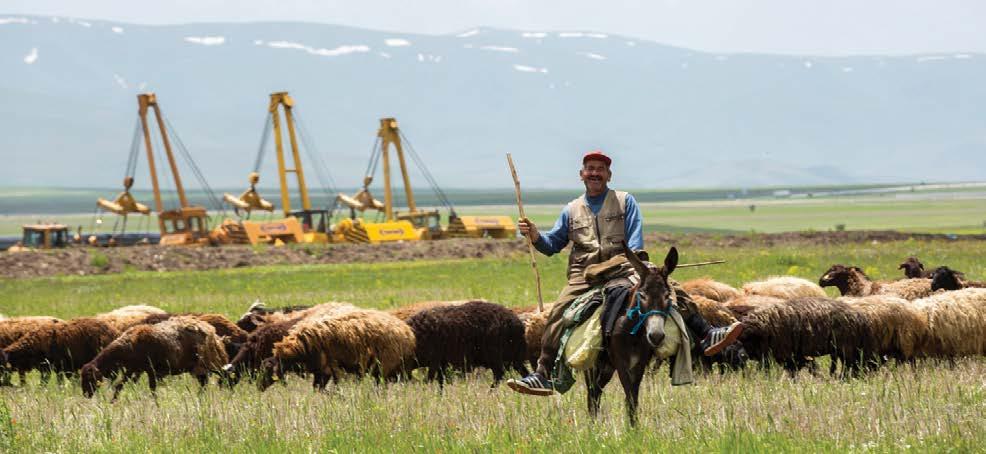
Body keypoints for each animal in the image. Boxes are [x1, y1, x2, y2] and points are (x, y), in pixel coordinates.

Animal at [81, 316, 229, 400]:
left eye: (89, 378)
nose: (86, 395)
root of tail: (211, 330)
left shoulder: (150, 370)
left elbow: (152, 389)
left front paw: (156, 403)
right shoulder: (133, 369)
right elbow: (119, 386)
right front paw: (113, 401)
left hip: (211, 361)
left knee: (222, 374)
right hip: (199, 366)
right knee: (204, 383)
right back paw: (200, 397)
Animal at [256, 310, 414, 392]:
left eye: (267, 370)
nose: (258, 387)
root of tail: (406, 330)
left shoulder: (330, 367)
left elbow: (329, 387)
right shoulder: (321, 371)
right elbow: (318, 388)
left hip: (386, 365)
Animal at [404, 300, 532, 388]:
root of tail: (517, 323)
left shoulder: (435, 361)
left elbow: (430, 379)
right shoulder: (441, 364)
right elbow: (440, 381)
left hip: (496, 357)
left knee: (499, 375)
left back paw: (490, 392)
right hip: (514, 357)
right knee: (523, 372)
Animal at [736, 296, 864, 378]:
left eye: (749, 339)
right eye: (742, 339)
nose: (746, 356)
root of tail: (855, 315)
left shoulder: (787, 356)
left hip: (845, 348)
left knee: (848, 366)